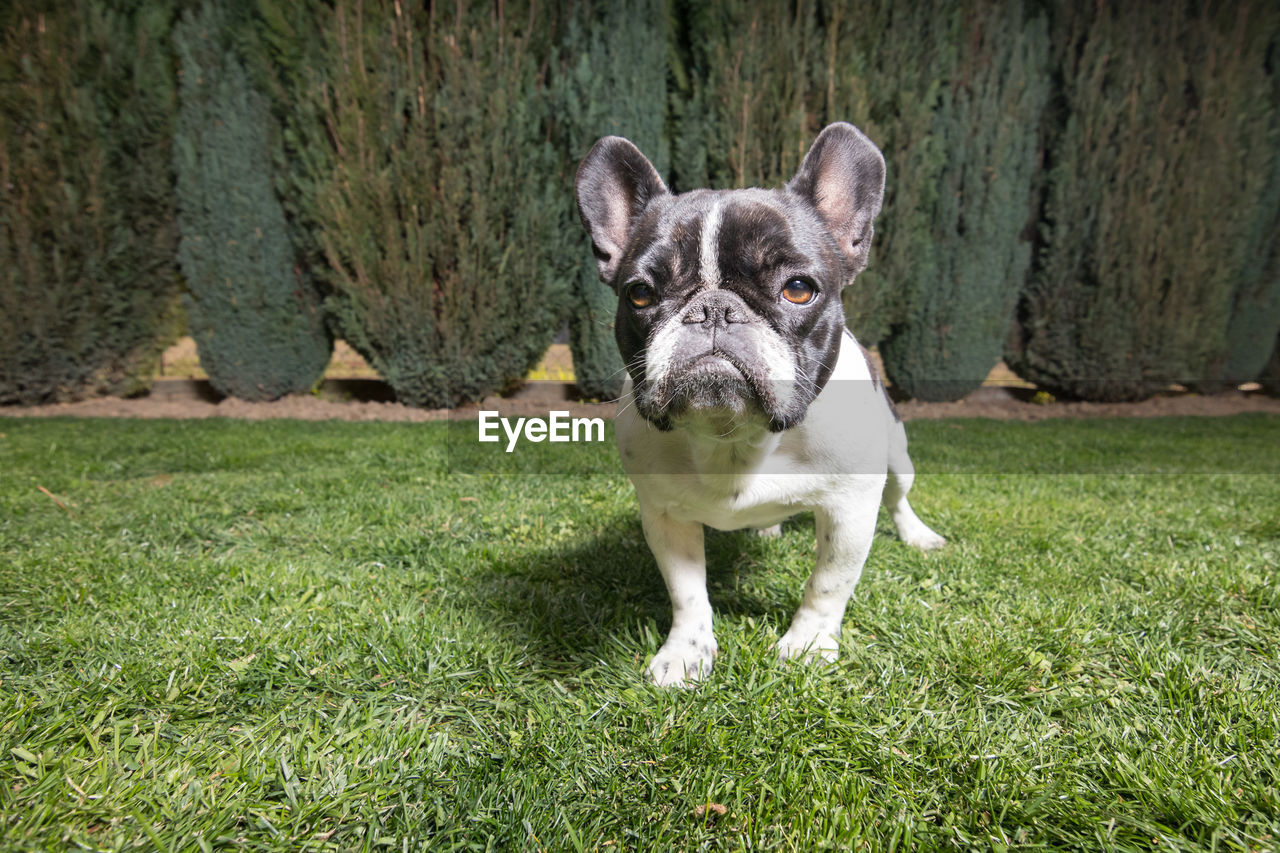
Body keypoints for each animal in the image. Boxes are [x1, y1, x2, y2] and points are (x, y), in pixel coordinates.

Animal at [576, 121, 947, 686]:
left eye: (798, 289)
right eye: (639, 294)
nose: (713, 310)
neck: (733, 436)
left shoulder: (849, 510)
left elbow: (828, 584)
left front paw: (809, 644)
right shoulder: (664, 515)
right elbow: (687, 593)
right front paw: (685, 653)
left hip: (897, 455)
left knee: (900, 498)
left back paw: (918, 536)